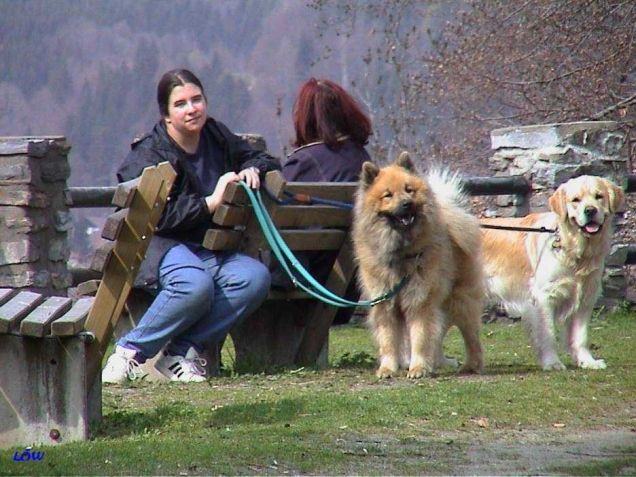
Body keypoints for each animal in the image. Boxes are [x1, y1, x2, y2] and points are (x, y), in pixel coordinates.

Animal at [352, 154, 482, 378]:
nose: (406, 204)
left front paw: (418, 368)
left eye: (409, 190)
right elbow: (388, 341)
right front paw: (388, 368)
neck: (401, 252)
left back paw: (471, 365)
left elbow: (420, 338)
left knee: (471, 335)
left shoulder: (419, 301)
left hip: (459, 301)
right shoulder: (385, 304)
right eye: (388, 195)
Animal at [484, 174, 624, 368]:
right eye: (575, 200)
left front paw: (588, 361)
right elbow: (548, 333)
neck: (574, 248)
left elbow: (581, 336)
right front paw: (552, 362)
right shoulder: (544, 296)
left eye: (599, 196)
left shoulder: (586, 296)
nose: (590, 211)